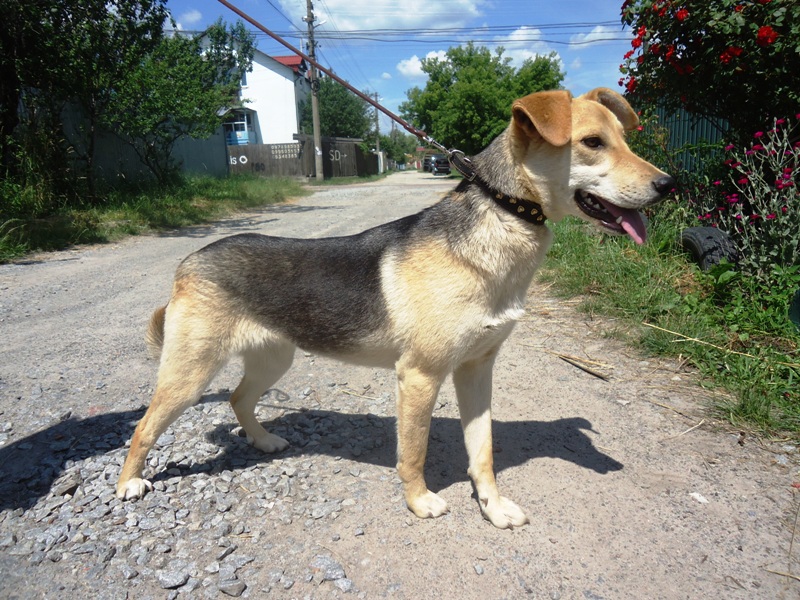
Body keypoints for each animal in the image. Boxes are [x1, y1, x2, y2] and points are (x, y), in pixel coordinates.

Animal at [115, 86, 672, 528]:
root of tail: (189, 261)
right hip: (189, 373)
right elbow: (414, 452)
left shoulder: (477, 370)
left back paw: (265, 441)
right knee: (144, 427)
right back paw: (128, 483)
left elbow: (484, 452)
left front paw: (492, 508)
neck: (501, 222)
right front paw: (420, 502)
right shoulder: (420, 376)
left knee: (237, 399)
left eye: (625, 139)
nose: (670, 185)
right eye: (592, 143)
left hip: (275, 358)